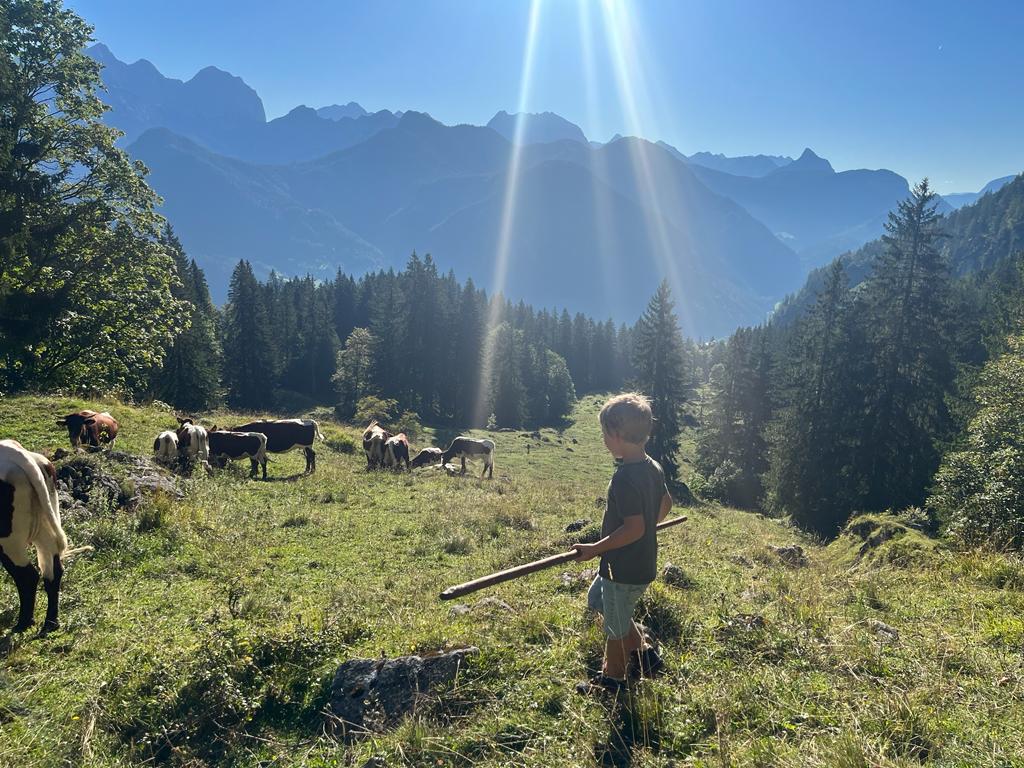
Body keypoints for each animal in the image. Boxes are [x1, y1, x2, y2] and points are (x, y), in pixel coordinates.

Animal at [0, 438, 91, 630]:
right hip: (45, 528)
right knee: (53, 571)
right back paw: (50, 622)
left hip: (9, 541)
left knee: (27, 576)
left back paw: (24, 623)